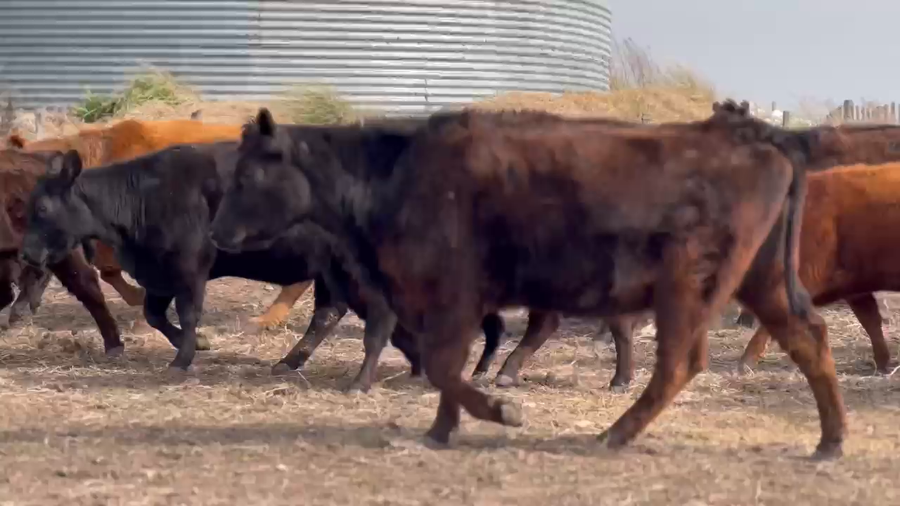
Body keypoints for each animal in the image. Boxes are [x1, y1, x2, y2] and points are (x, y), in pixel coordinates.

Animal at [208, 102, 858, 459]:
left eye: (246, 175)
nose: (215, 231)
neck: (396, 173)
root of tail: (760, 135)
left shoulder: (455, 295)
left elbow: (444, 366)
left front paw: (500, 411)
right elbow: (444, 369)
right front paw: (442, 429)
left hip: (689, 287)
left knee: (680, 362)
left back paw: (614, 434)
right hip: (762, 280)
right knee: (808, 338)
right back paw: (829, 442)